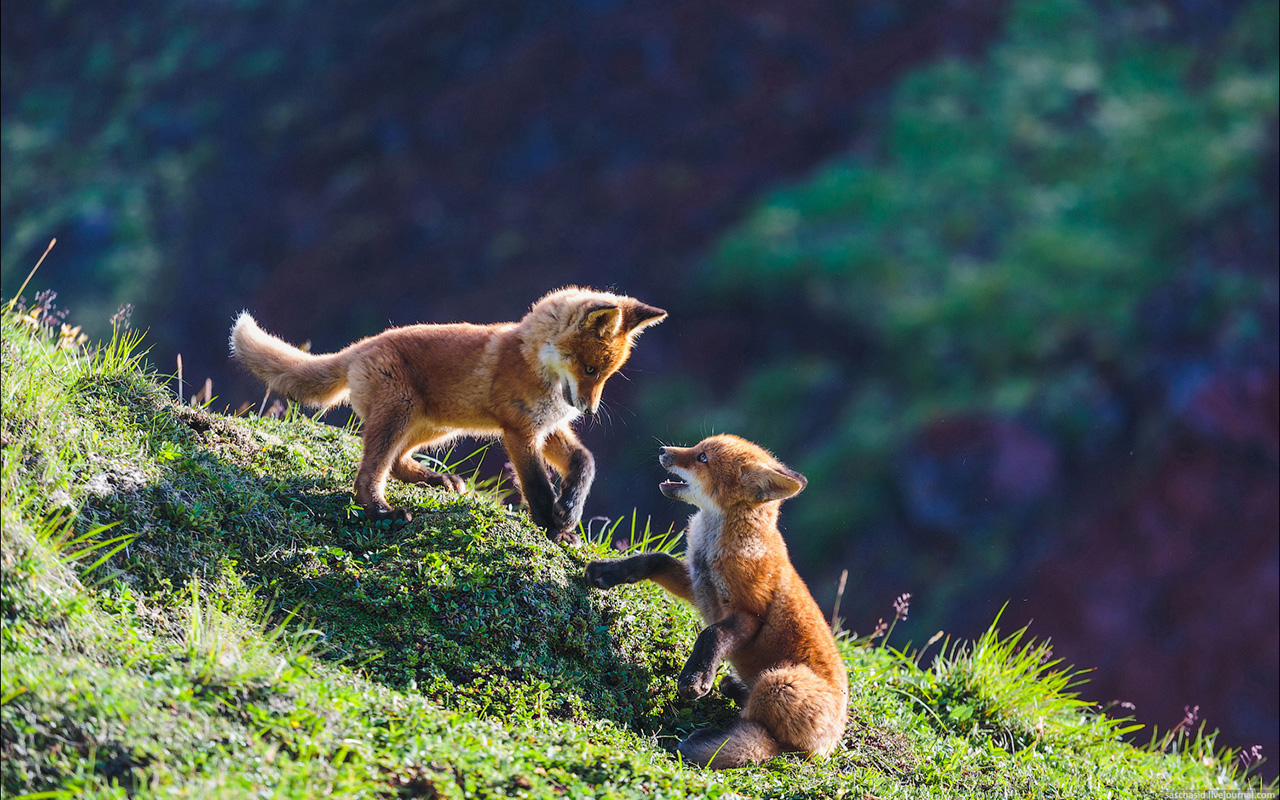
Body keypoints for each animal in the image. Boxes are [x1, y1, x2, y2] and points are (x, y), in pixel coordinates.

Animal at [230, 286, 665, 542]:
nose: (587, 409)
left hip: (437, 426)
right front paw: (552, 527)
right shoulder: (519, 430)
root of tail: (363, 345)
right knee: (368, 475)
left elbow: (584, 462)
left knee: (397, 463)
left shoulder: (548, 427)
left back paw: (438, 481)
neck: (533, 361)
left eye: (607, 375)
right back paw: (382, 512)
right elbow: (538, 486)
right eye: (590, 369)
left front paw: (570, 509)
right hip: (402, 414)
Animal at [586, 437, 844, 768]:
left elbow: (712, 634)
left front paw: (695, 678)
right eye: (698, 448)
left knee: (772, 742)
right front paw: (608, 572)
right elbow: (655, 559)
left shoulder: (750, 613)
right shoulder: (697, 584)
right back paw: (734, 690)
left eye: (702, 458)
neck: (715, 548)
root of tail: (832, 744)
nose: (663, 451)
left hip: (780, 684)